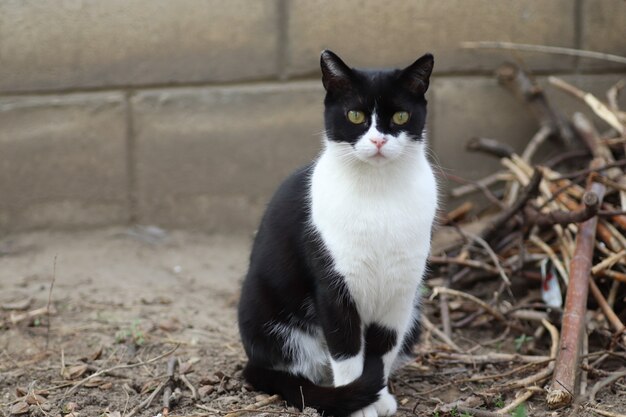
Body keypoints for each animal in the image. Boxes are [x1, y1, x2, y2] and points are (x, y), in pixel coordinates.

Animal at [236, 49, 436, 416]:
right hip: (263, 310)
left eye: (401, 116)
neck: (379, 192)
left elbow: (383, 348)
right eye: (355, 115)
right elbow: (346, 351)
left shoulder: (402, 289)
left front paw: (378, 398)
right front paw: (358, 404)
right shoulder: (334, 286)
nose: (378, 140)